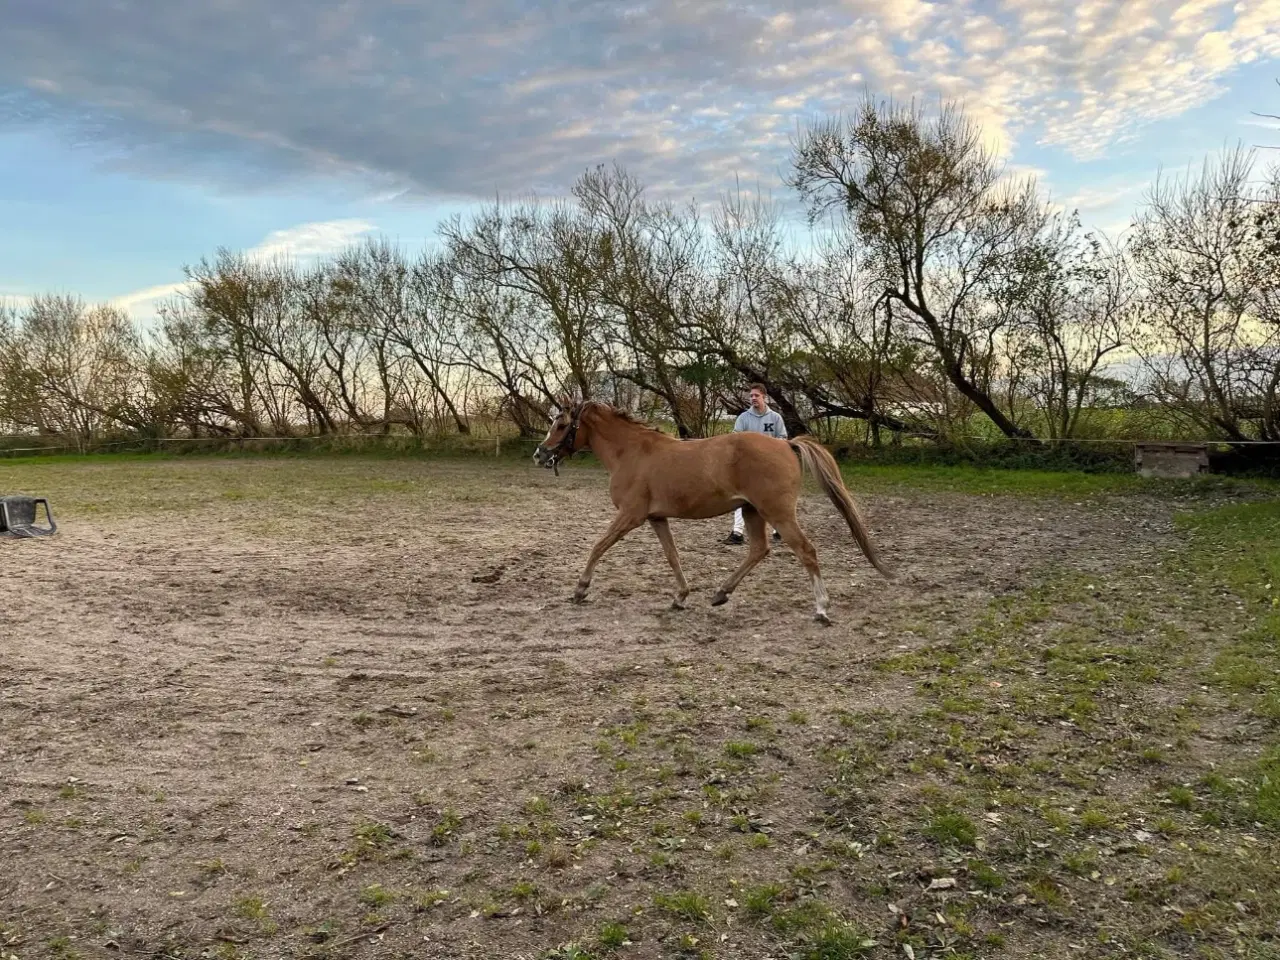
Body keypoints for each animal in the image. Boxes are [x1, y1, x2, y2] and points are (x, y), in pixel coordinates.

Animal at [533, 400, 894, 623]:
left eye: (561, 424)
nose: (540, 454)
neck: (633, 453)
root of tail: (785, 443)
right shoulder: (656, 518)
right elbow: (673, 556)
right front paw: (680, 597)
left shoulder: (630, 516)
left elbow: (598, 546)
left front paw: (580, 589)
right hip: (752, 511)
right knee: (759, 549)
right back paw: (721, 593)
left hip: (777, 512)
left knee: (806, 550)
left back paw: (821, 609)